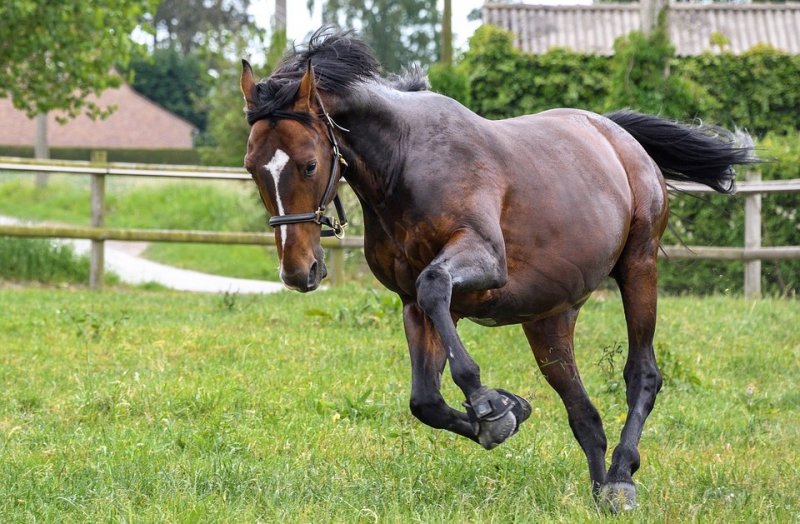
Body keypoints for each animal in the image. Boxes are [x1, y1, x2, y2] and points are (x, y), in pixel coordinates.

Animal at [239, 28, 756, 512]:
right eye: (251, 167)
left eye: (309, 165)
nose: (298, 271)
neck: (405, 162)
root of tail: (616, 133)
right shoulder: (412, 305)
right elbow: (425, 400)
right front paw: (508, 409)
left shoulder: (484, 261)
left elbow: (435, 287)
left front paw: (490, 404)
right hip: (550, 318)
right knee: (584, 414)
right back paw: (600, 487)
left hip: (639, 267)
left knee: (642, 374)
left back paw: (622, 479)